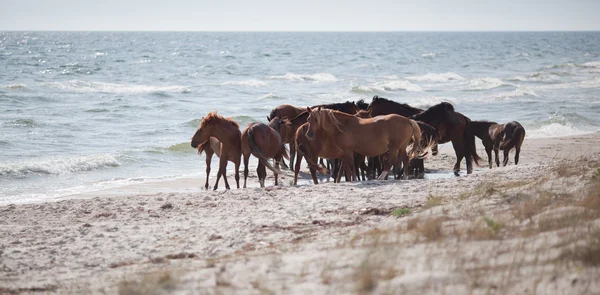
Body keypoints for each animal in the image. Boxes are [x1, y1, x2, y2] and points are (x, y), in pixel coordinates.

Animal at [304, 107, 432, 182]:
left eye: (316, 119)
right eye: (308, 118)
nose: (309, 134)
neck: (343, 126)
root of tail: (407, 120)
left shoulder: (348, 151)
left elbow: (352, 166)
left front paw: (354, 180)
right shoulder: (346, 153)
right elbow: (348, 167)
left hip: (394, 148)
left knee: (390, 162)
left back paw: (380, 178)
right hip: (401, 147)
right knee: (405, 160)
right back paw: (404, 177)